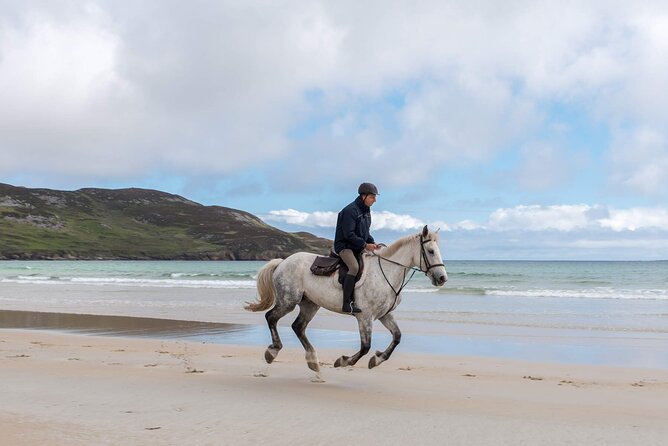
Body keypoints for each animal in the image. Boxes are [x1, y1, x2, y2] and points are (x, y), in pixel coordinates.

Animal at [243, 225, 446, 372]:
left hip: (310, 305)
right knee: (271, 317)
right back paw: (273, 351)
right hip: (288, 301)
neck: (385, 273)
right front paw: (344, 361)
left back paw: (313, 361)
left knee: (298, 327)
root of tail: (282, 262)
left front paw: (377, 359)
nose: (443, 278)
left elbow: (397, 337)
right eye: (430, 251)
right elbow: (365, 346)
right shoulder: (365, 317)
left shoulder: (384, 315)